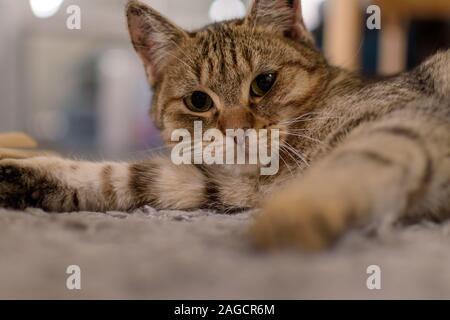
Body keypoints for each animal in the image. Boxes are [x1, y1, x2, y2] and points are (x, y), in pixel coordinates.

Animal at [0, 0, 450, 250]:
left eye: (264, 82)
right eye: (199, 100)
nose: (237, 131)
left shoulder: (401, 120)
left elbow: (353, 165)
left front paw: (295, 217)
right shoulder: (224, 187)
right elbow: (123, 176)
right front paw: (21, 172)